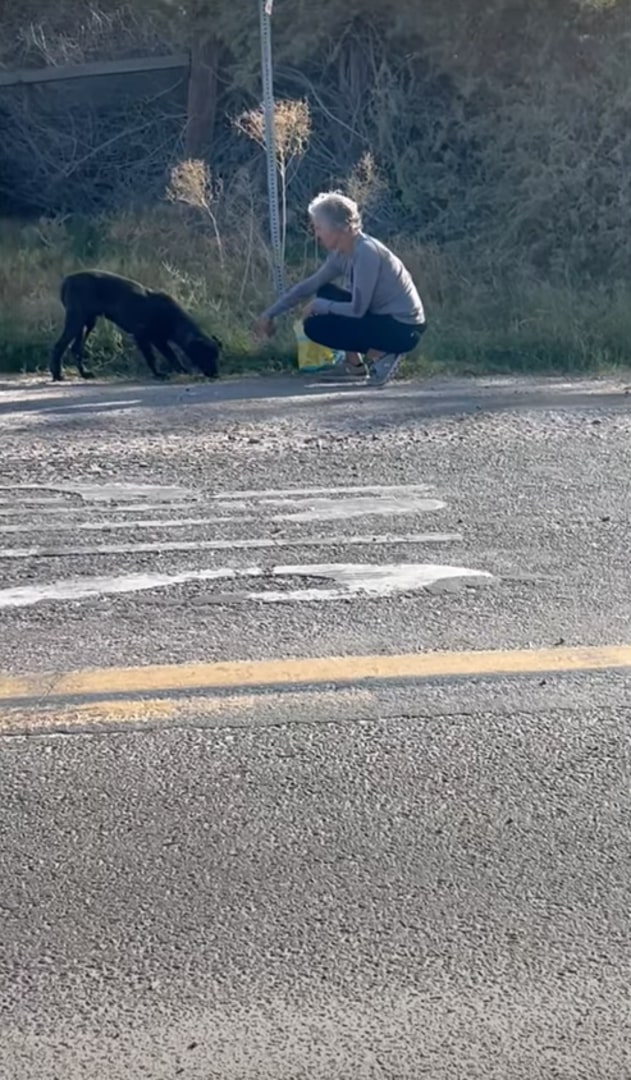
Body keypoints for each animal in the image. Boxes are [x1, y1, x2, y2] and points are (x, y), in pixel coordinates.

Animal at [50, 270, 220, 384]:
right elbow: (153, 357)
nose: (216, 374)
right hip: (77, 320)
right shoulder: (143, 336)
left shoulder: (160, 340)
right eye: (206, 355)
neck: (174, 319)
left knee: (75, 348)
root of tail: (67, 280)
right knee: (59, 346)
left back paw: (84, 373)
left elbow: (171, 356)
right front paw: (159, 374)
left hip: (88, 322)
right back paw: (57, 374)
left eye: (216, 357)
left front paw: (181, 370)